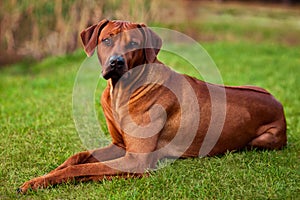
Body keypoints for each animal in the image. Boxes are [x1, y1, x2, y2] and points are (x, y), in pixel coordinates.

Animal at [18, 19, 286, 193]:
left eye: (133, 44)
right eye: (107, 40)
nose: (116, 62)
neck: (121, 91)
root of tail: (279, 105)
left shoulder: (136, 160)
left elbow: (83, 169)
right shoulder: (119, 145)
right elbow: (78, 157)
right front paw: (44, 175)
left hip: (263, 139)